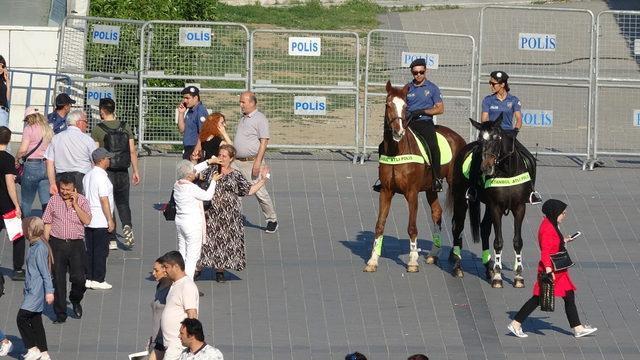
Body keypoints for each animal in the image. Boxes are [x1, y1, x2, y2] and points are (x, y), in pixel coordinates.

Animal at [364, 81, 464, 272]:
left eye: (405, 106)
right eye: (388, 105)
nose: (398, 131)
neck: (397, 150)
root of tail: (458, 137)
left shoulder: (412, 193)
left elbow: (412, 227)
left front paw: (412, 260)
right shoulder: (386, 191)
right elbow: (379, 225)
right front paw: (372, 260)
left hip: (455, 186)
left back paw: (454, 256)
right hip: (431, 188)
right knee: (437, 213)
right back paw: (433, 254)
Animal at [450, 116, 536, 286]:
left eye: (497, 138)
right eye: (480, 139)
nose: (486, 167)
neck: (508, 171)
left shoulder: (519, 207)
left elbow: (517, 241)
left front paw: (518, 276)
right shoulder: (496, 207)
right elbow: (498, 241)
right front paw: (497, 276)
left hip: (489, 206)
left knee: (484, 228)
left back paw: (488, 267)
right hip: (461, 199)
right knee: (458, 227)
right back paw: (458, 266)